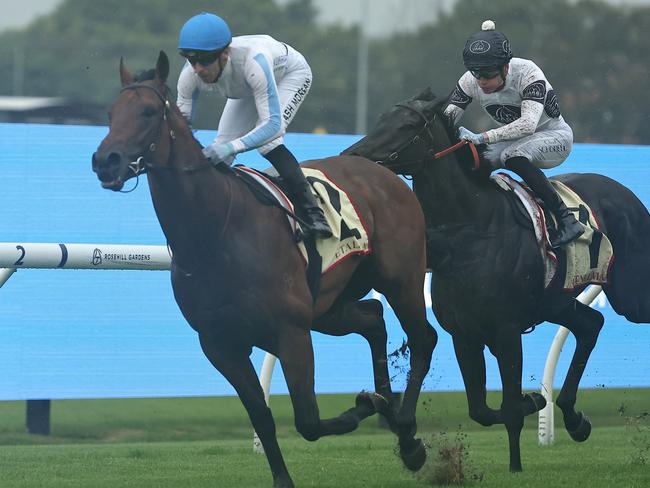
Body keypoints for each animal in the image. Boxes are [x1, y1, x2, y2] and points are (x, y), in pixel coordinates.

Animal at [90, 51, 436, 486]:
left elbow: (308, 421)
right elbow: (262, 417)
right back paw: (394, 416)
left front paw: (365, 405)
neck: (214, 234)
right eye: (110, 113)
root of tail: (380, 170)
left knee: (423, 339)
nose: (106, 160)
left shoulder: (290, 333)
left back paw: (408, 434)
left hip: (401, 280)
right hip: (328, 307)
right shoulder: (220, 344)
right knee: (373, 318)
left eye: (149, 112)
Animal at [344, 87, 648, 472]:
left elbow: (508, 408)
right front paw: (534, 402)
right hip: (555, 302)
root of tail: (627, 194)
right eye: (383, 117)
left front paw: (516, 464)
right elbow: (481, 410)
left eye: (408, 124)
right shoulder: (464, 334)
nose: (351, 156)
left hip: (631, 295)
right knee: (591, 324)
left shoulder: (506, 332)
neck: (471, 228)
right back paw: (574, 418)